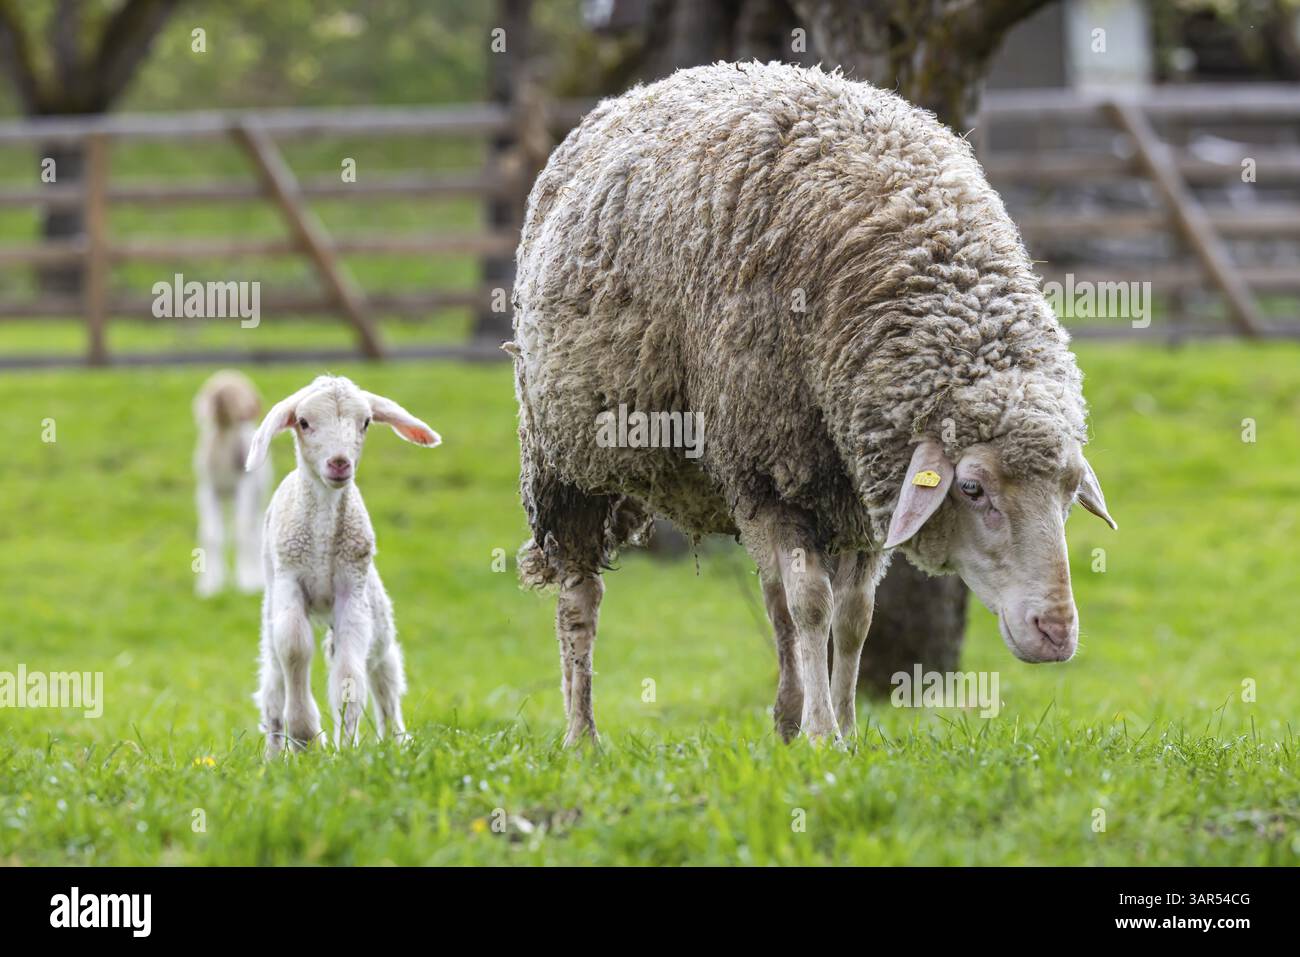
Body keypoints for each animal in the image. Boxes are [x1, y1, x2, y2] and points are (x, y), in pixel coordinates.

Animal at [193, 370, 272, 597]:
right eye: (229, 395)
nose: (254, 408)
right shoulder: (207, 489)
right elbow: (211, 534)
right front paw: (210, 585)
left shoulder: (243, 487)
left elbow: (242, 531)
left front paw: (246, 582)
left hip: (258, 493)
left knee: (254, 530)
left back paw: (257, 577)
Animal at [243, 375, 440, 755]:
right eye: (304, 422)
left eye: (365, 422)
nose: (339, 463)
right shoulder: (289, 579)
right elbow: (294, 647)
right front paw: (305, 734)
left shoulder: (353, 590)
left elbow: (349, 672)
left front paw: (344, 747)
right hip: (270, 605)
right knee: (273, 684)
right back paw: (274, 753)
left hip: (376, 606)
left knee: (383, 672)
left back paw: (396, 739)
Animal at [510, 61, 1117, 747]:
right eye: (972, 489)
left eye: (1069, 490)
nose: (1057, 634)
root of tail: (642, 89)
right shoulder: (772, 469)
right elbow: (812, 606)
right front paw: (825, 736)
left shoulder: (861, 485)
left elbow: (853, 617)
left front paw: (846, 731)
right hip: (564, 459)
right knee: (579, 599)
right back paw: (582, 737)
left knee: (773, 602)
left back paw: (784, 718)